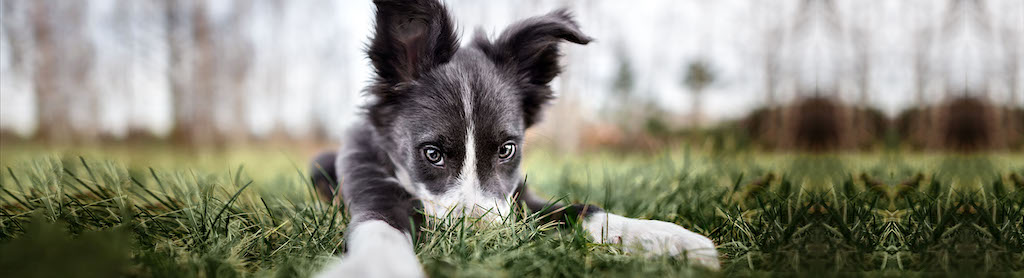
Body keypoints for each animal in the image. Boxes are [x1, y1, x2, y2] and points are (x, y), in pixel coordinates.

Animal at [311, 0, 720, 276]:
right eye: (432, 154)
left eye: (507, 150)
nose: (484, 240)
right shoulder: (372, 190)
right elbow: (380, 229)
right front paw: (373, 267)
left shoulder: (520, 197)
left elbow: (581, 210)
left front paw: (669, 239)